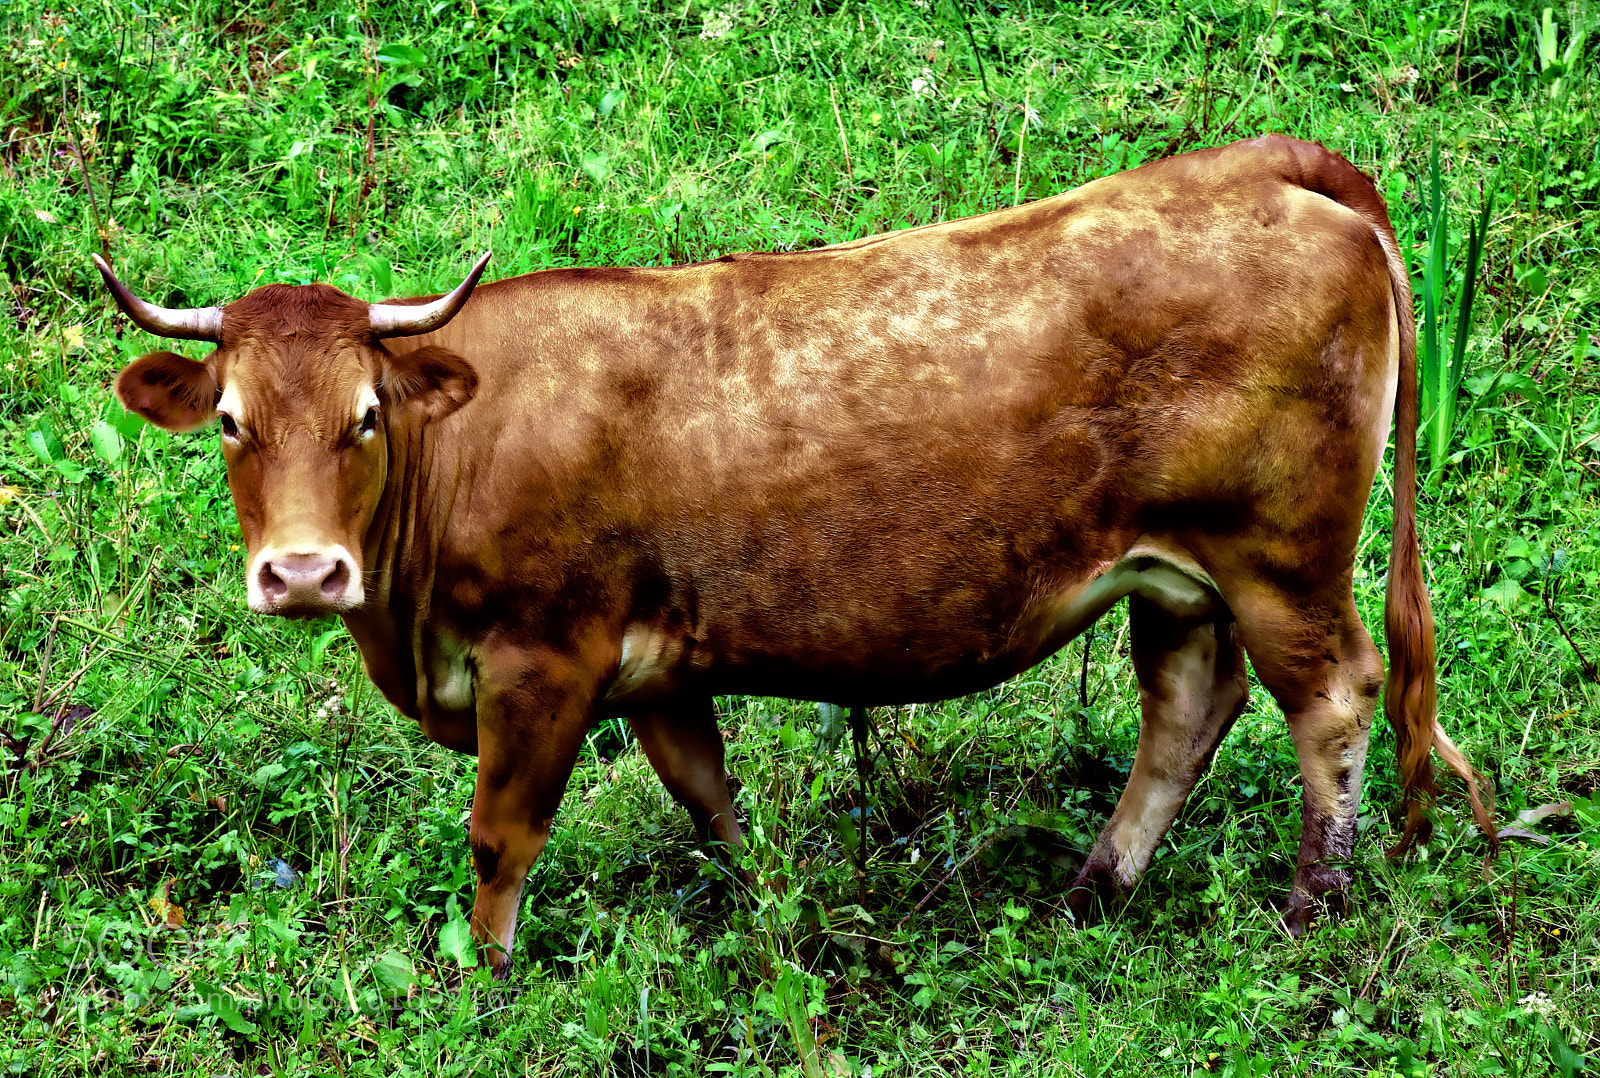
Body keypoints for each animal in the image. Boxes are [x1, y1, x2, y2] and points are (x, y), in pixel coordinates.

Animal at [98, 135, 1494, 978]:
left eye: (365, 418)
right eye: (231, 422)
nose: (302, 575)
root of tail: (1267, 164)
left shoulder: (543, 660)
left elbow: (502, 833)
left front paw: (482, 978)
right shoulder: (657, 669)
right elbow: (709, 797)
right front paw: (768, 911)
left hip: (1280, 557)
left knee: (1331, 699)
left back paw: (1313, 901)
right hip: (1176, 575)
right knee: (1186, 709)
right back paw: (1092, 888)